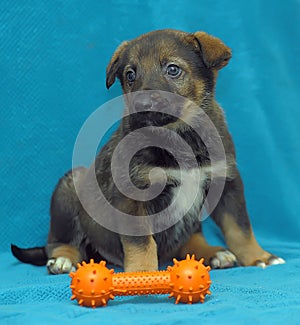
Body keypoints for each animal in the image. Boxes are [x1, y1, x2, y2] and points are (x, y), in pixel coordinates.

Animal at [11, 28, 284, 274]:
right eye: (130, 74)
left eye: (173, 69)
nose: (142, 103)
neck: (178, 134)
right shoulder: (134, 194)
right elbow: (141, 242)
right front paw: (142, 273)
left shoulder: (226, 181)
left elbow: (240, 227)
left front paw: (258, 256)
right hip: (69, 188)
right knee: (58, 241)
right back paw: (63, 259)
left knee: (189, 239)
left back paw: (211, 252)